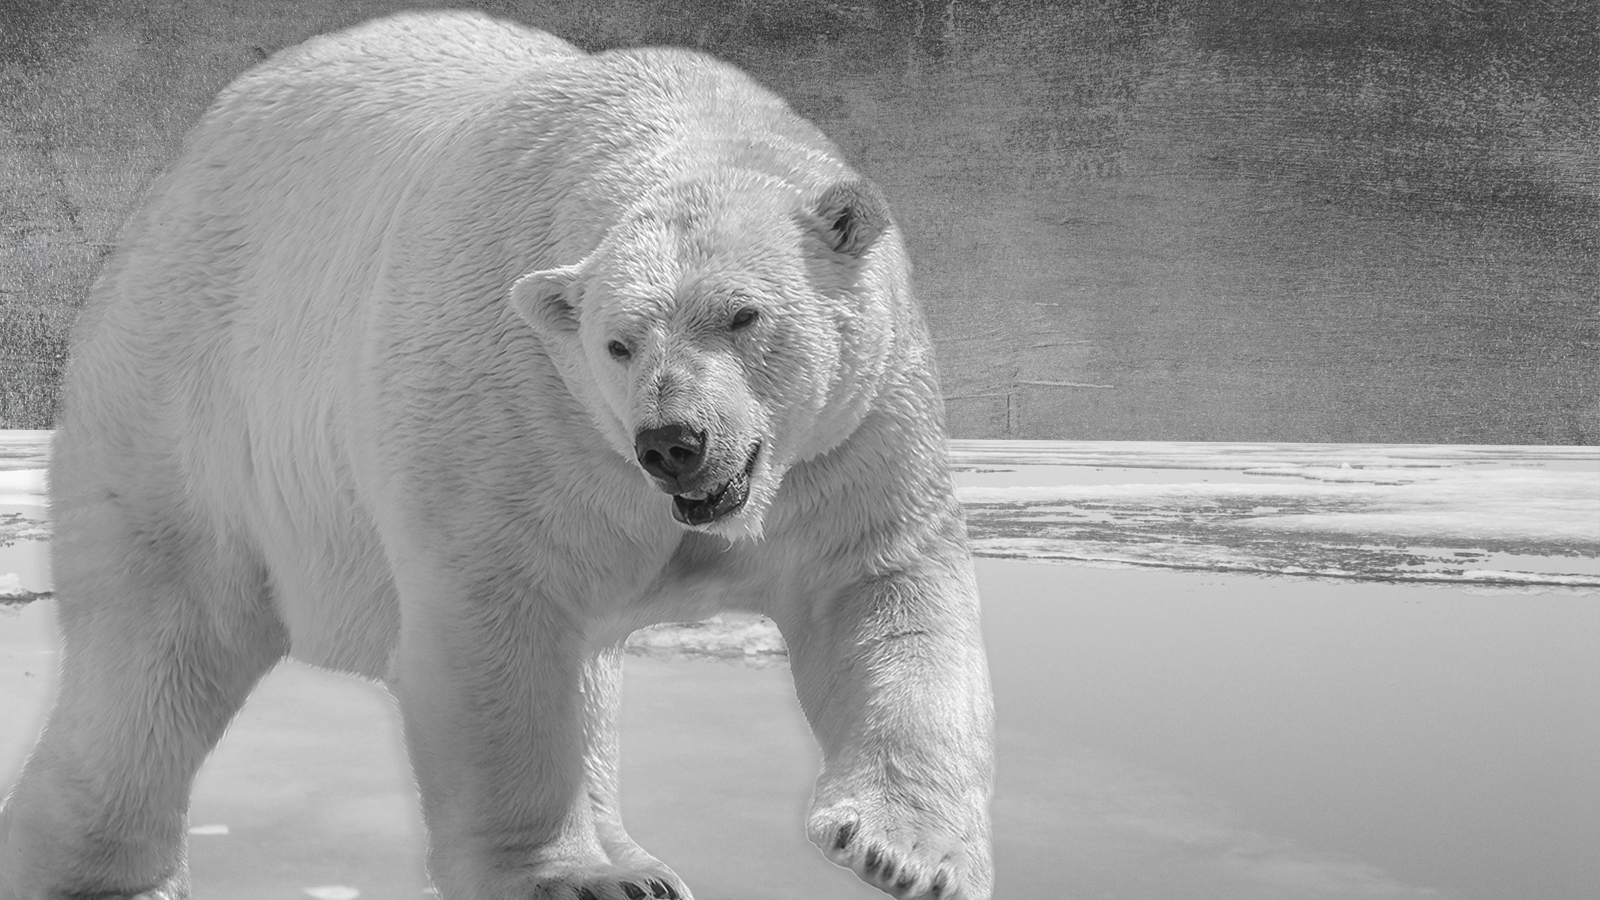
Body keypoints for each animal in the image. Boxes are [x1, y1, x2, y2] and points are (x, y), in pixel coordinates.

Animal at [0, 12, 992, 896]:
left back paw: (640, 863)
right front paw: (566, 878)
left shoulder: (851, 434)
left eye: (744, 314)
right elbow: (498, 631)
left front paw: (900, 853)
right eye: (617, 343)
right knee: (155, 651)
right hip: (190, 402)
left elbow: (879, 594)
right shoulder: (519, 411)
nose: (673, 443)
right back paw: (97, 874)